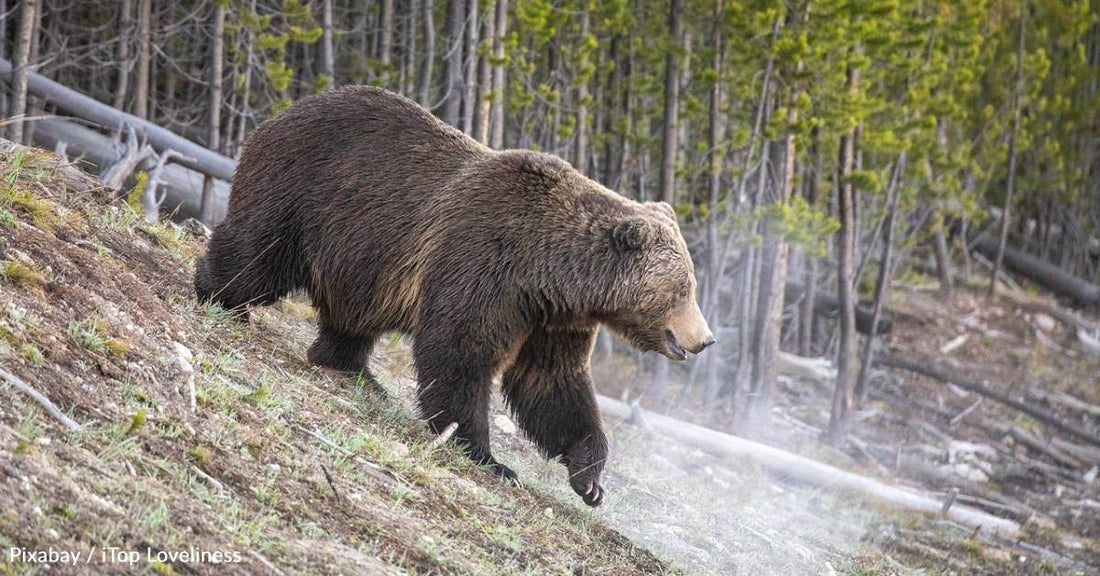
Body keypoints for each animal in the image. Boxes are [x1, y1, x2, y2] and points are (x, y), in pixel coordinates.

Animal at [194, 86, 717, 507]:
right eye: (684, 288)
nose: (706, 339)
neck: (551, 272)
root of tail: (283, 111)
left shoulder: (551, 318)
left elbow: (553, 383)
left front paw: (589, 476)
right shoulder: (486, 262)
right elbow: (460, 350)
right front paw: (487, 455)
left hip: (361, 256)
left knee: (353, 314)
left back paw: (355, 369)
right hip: (304, 190)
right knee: (259, 252)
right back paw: (217, 293)